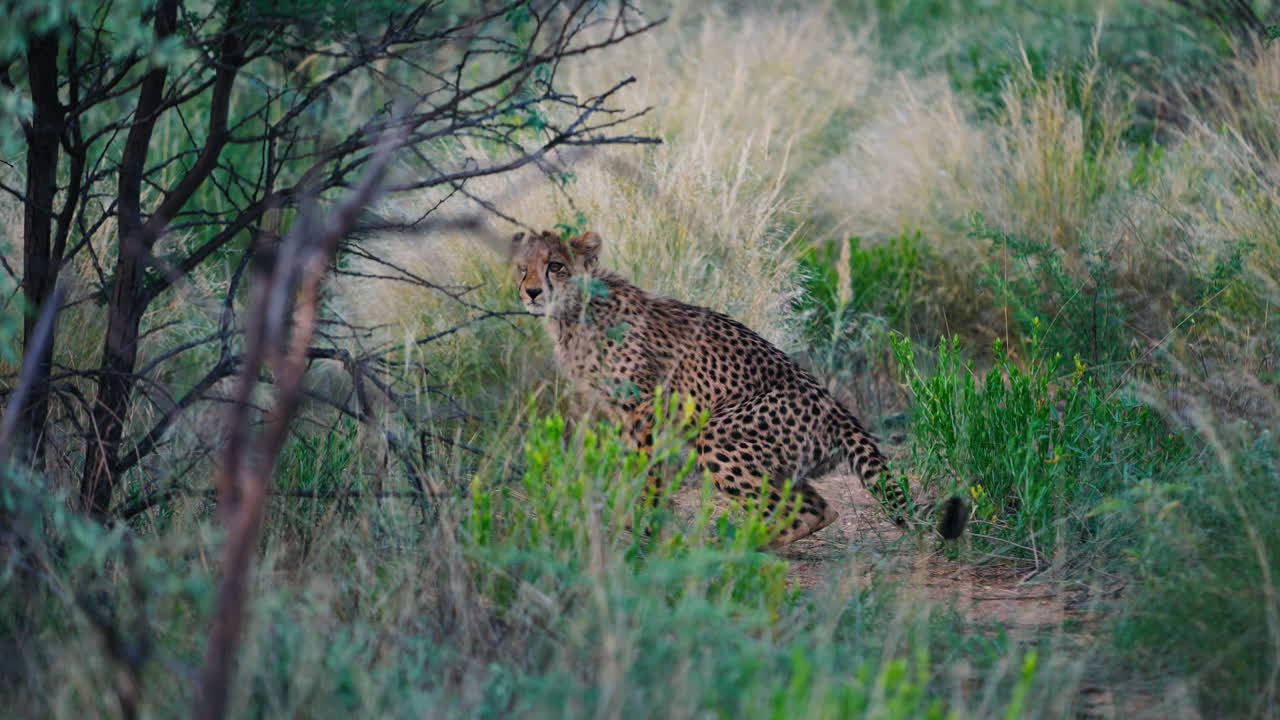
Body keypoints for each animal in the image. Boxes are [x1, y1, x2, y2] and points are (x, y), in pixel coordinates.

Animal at [512, 229, 967, 546]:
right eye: (522, 267)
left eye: (556, 265)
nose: (531, 291)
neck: (575, 311)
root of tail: (839, 410)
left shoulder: (643, 408)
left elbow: (646, 469)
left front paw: (645, 520)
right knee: (818, 506)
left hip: (718, 433)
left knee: (805, 511)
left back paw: (740, 548)